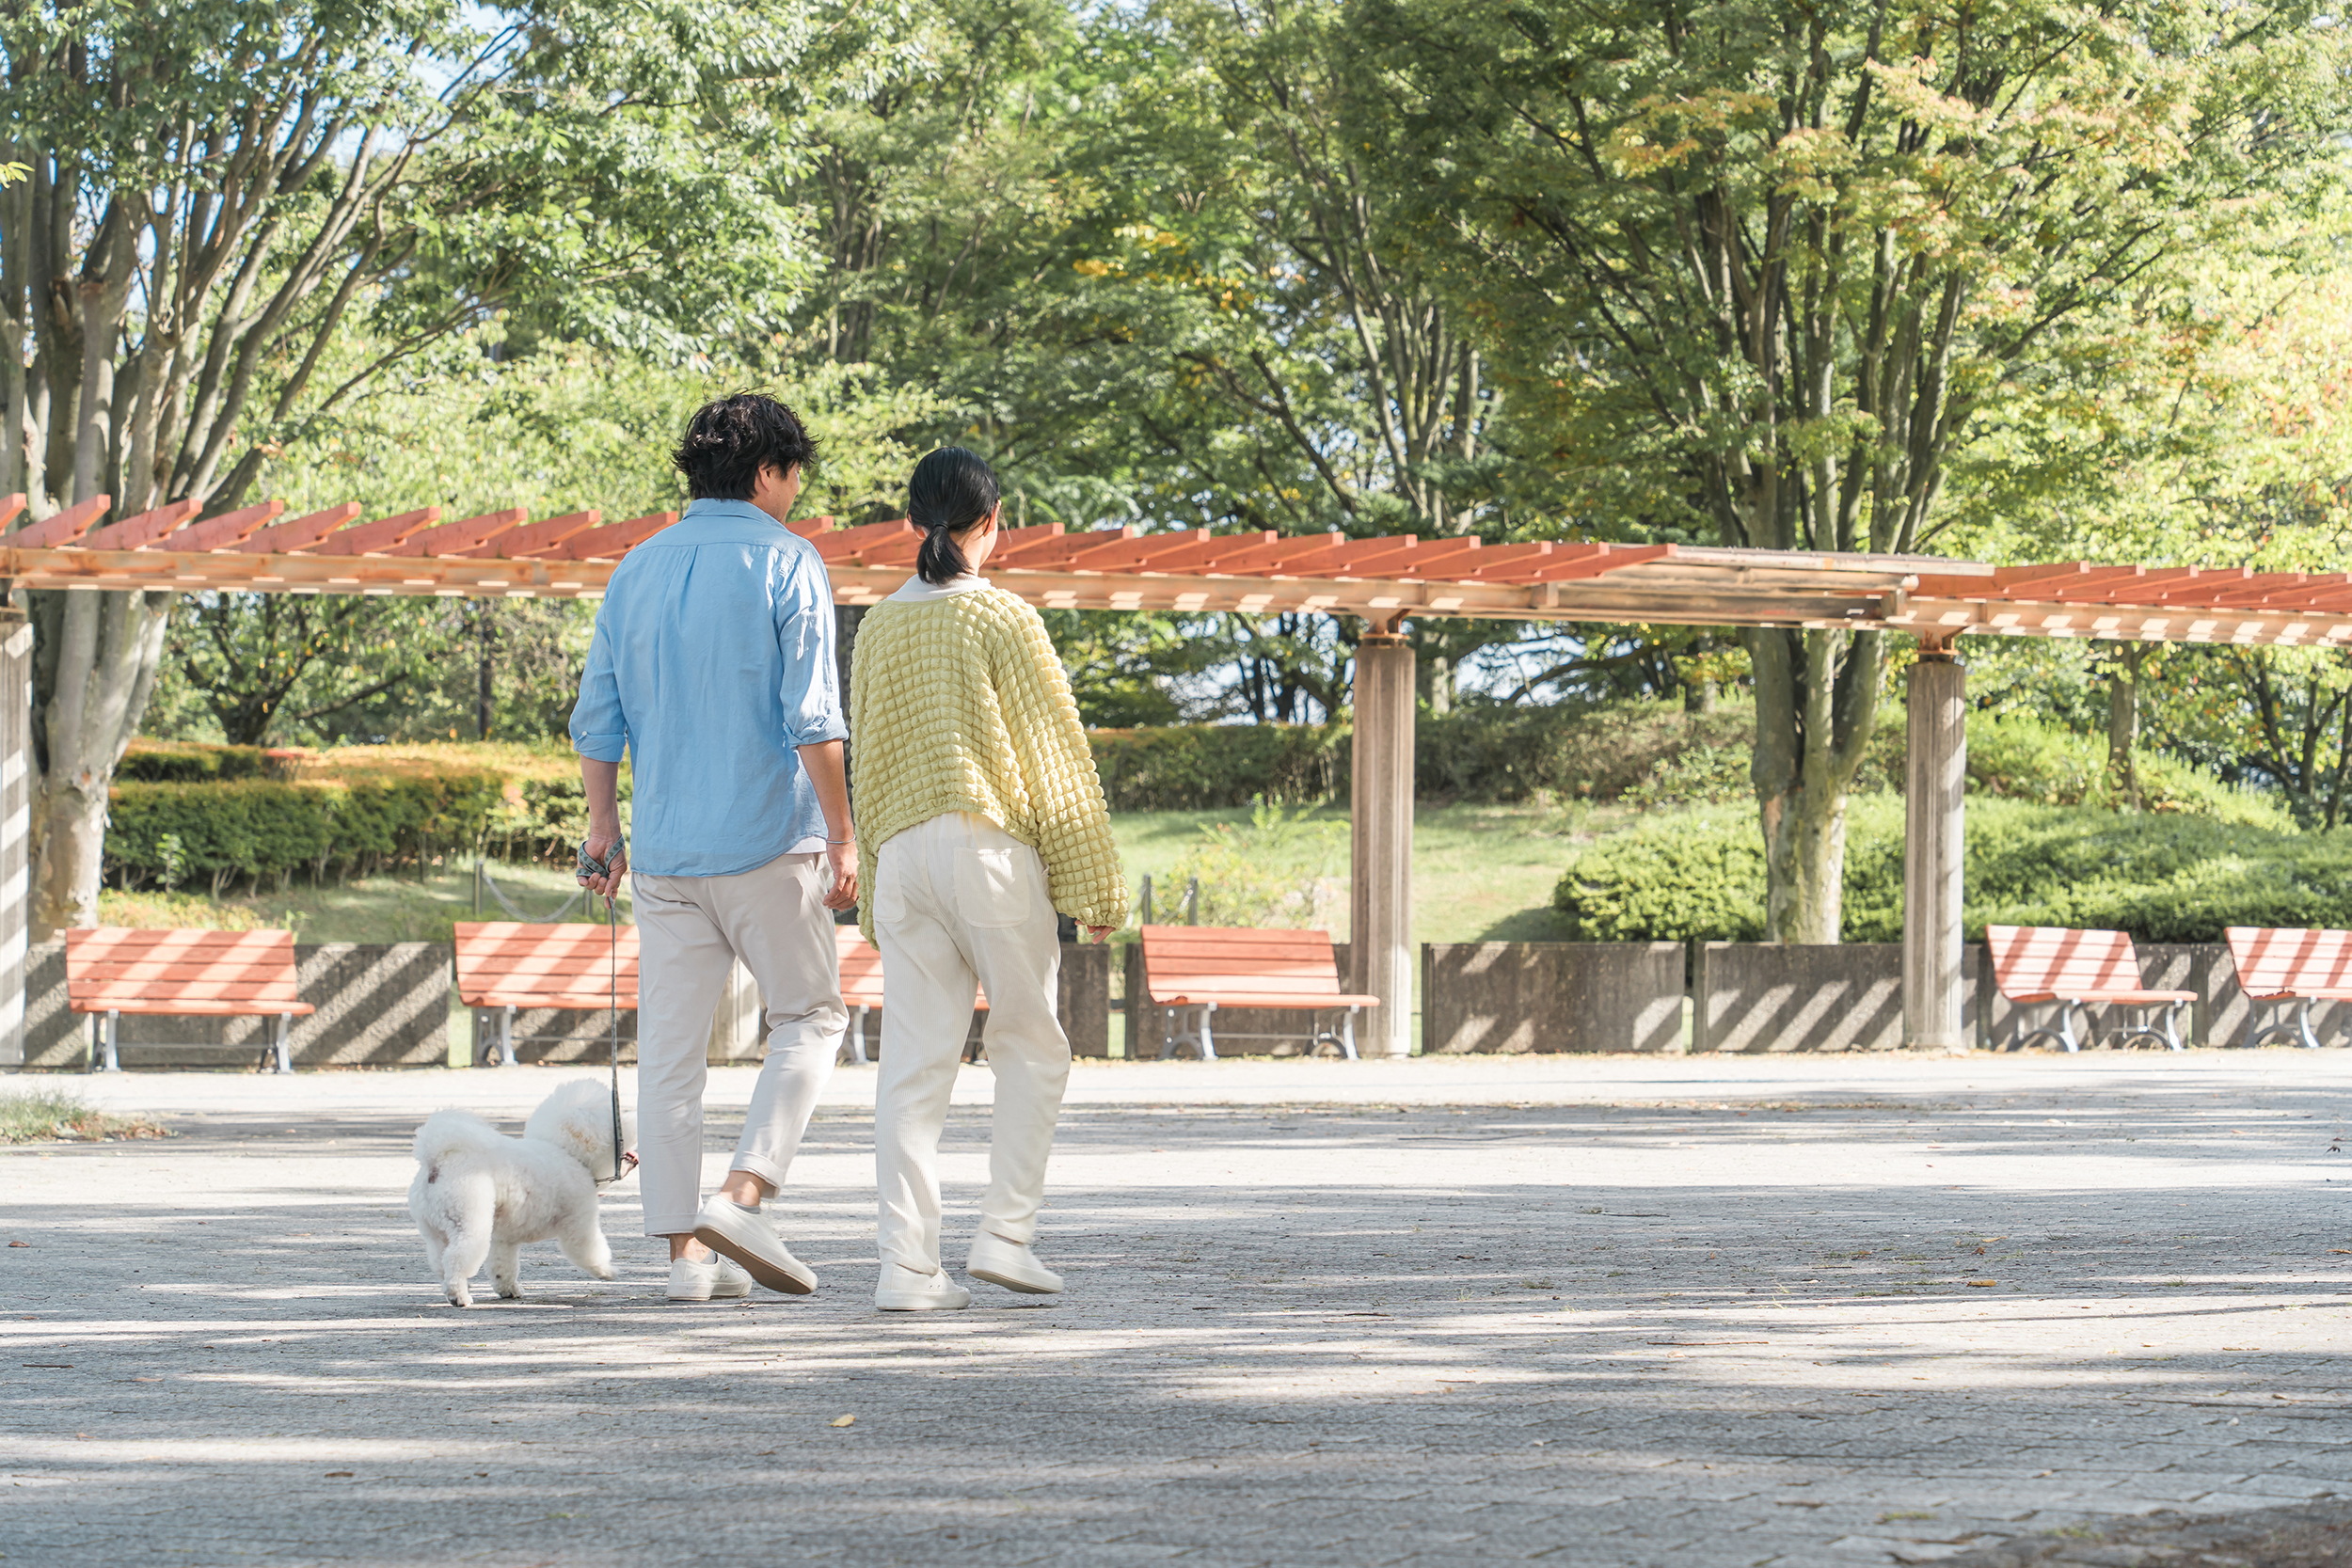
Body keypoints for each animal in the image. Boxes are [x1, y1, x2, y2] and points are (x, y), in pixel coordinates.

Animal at [411, 1081, 635, 1316]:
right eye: (615, 1122)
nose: (630, 1120)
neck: (568, 1152)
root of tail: (436, 1162)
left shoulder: (503, 1239)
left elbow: (503, 1267)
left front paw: (509, 1290)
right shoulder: (579, 1222)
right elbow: (589, 1251)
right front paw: (606, 1271)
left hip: (434, 1231)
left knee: (440, 1262)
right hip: (470, 1223)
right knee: (456, 1260)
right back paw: (459, 1297)